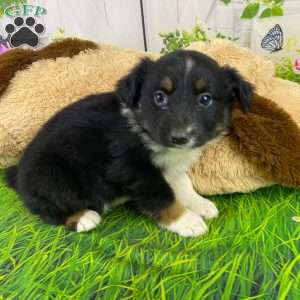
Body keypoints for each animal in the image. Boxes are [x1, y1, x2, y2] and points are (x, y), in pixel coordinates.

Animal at [4, 49, 253, 237]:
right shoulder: (130, 168)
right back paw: (84, 217)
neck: (145, 130)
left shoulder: (171, 167)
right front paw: (186, 221)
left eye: (205, 99)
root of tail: (17, 174)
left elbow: (183, 184)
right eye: (159, 97)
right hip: (52, 177)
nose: (180, 137)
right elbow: (162, 195)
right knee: (45, 208)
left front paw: (199, 203)